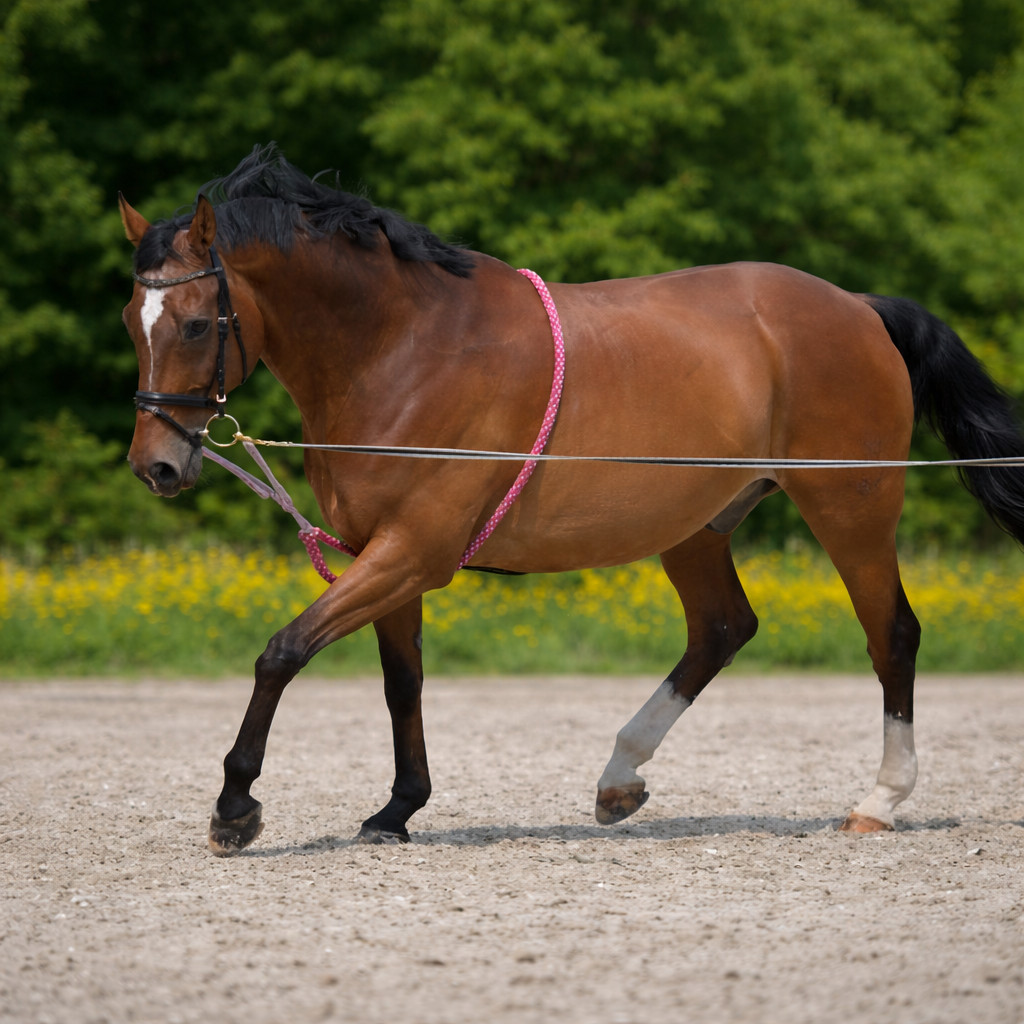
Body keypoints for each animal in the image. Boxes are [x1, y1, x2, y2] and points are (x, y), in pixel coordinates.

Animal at [118, 144, 1024, 856]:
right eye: (133, 319)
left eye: (195, 324)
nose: (155, 467)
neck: (403, 349)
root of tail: (858, 308)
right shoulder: (384, 554)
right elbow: (401, 681)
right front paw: (397, 809)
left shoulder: (414, 552)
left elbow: (283, 652)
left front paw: (235, 808)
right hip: (695, 526)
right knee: (722, 629)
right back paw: (619, 778)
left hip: (851, 507)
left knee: (892, 635)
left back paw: (880, 800)